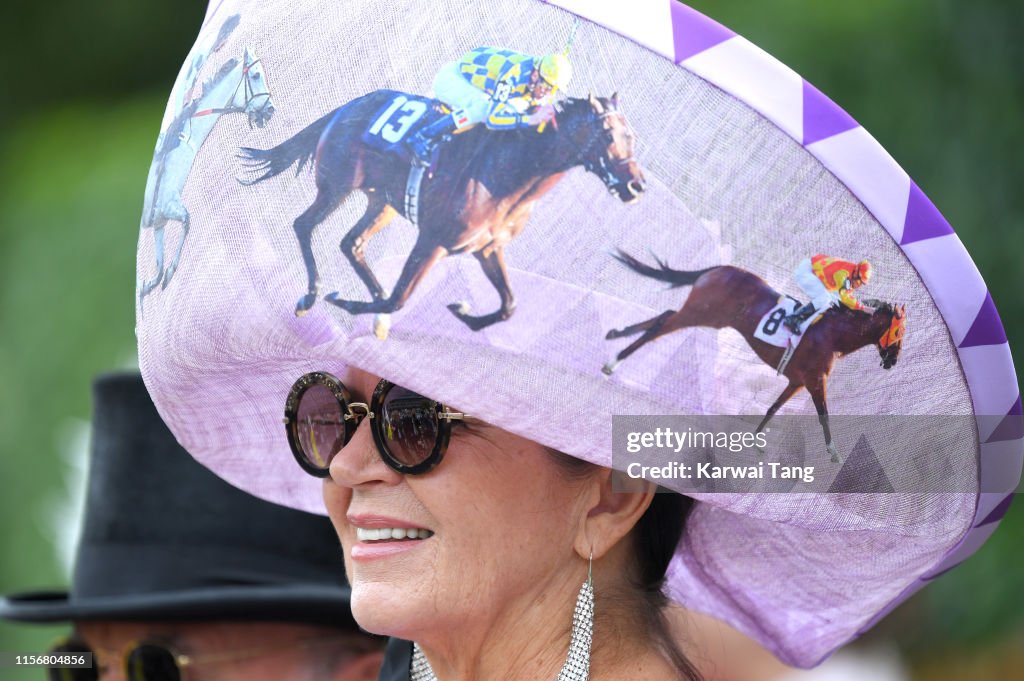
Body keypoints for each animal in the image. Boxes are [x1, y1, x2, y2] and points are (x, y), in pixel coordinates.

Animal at [141, 47, 276, 303]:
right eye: (255, 75)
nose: (270, 109)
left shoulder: (161, 220)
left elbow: (159, 263)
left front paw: (153, 282)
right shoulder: (170, 207)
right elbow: (185, 224)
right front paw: (169, 274)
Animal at [236, 93, 643, 331]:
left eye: (632, 137)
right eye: (608, 134)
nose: (636, 185)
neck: (510, 172)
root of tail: (348, 106)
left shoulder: (486, 248)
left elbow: (509, 305)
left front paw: (463, 312)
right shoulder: (433, 240)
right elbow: (398, 300)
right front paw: (346, 302)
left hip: (382, 202)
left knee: (351, 243)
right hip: (337, 185)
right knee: (304, 225)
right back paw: (311, 295)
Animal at [602, 250, 909, 462]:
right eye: (899, 331)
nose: (892, 361)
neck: (833, 335)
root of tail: (721, 268)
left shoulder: (796, 382)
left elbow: (773, 407)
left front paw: (754, 440)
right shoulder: (814, 381)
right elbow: (824, 415)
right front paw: (834, 453)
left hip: (707, 316)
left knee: (662, 317)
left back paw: (615, 335)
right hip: (701, 312)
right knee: (661, 325)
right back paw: (613, 361)